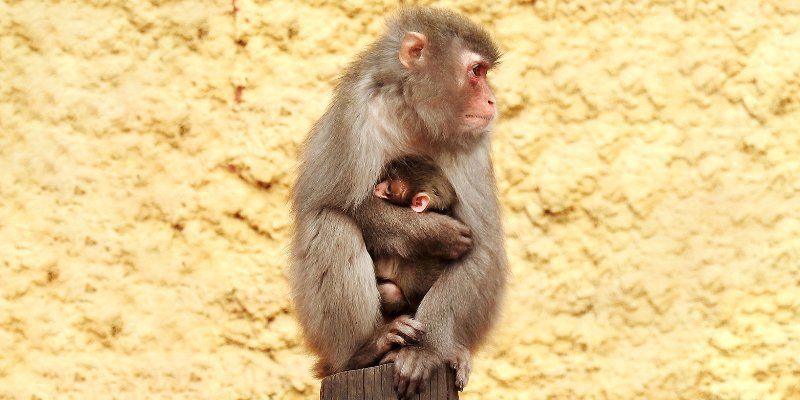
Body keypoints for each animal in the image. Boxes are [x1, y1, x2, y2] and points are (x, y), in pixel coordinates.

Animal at [289, 7, 507, 397]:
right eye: (476, 72)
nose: (491, 101)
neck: (415, 113)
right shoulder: (357, 115)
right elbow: (328, 202)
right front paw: (431, 233)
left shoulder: (472, 142)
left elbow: (483, 245)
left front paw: (426, 351)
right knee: (330, 224)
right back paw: (364, 350)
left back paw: (447, 350)